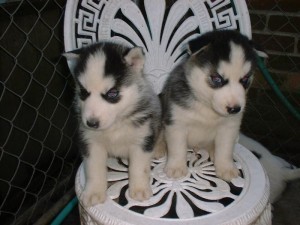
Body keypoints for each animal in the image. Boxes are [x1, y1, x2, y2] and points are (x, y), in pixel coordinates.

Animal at [63, 41, 162, 206]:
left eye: (112, 93)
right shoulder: (91, 142)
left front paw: (139, 188)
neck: (115, 125)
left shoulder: (142, 139)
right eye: (83, 92)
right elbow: (94, 168)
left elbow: (139, 167)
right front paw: (94, 192)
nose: (91, 123)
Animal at [161, 29, 266, 181]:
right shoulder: (177, 123)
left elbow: (225, 149)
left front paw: (226, 167)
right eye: (217, 78)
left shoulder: (229, 127)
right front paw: (176, 167)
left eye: (245, 79)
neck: (207, 107)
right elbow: (177, 147)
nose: (235, 109)